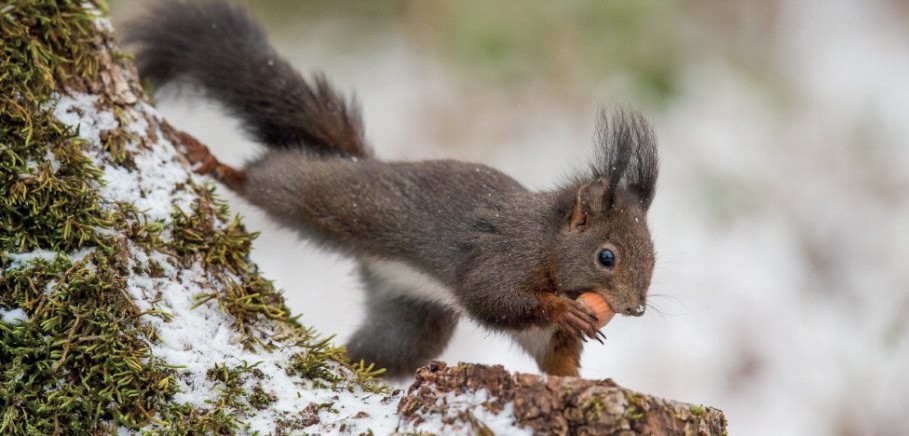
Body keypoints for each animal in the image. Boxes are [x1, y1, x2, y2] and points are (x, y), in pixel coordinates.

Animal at [127, 0, 660, 378]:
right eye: (606, 257)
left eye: (654, 258)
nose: (636, 309)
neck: (548, 242)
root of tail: (361, 163)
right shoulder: (502, 256)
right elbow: (493, 298)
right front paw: (565, 311)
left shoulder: (539, 334)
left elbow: (554, 360)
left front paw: (587, 381)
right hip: (328, 198)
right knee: (269, 178)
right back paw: (214, 162)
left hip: (413, 316)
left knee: (379, 352)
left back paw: (344, 361)